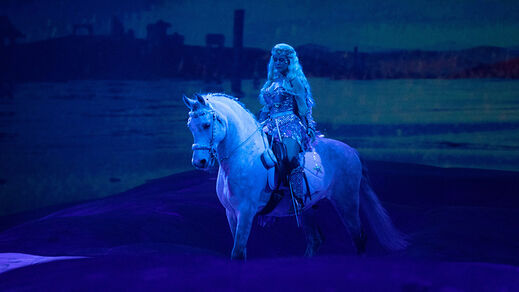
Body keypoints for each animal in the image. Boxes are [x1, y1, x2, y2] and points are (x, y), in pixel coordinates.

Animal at [185, 92, 408, 258]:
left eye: (206, 125)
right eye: (190, 126)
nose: (199, 162)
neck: (243, 155)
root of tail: (352, 151)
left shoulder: (246, 212)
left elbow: (238, 252)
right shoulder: (231, 213)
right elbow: (240, 251)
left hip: (347, 202)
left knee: (358, 238)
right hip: (308, 207)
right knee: (316, 240)